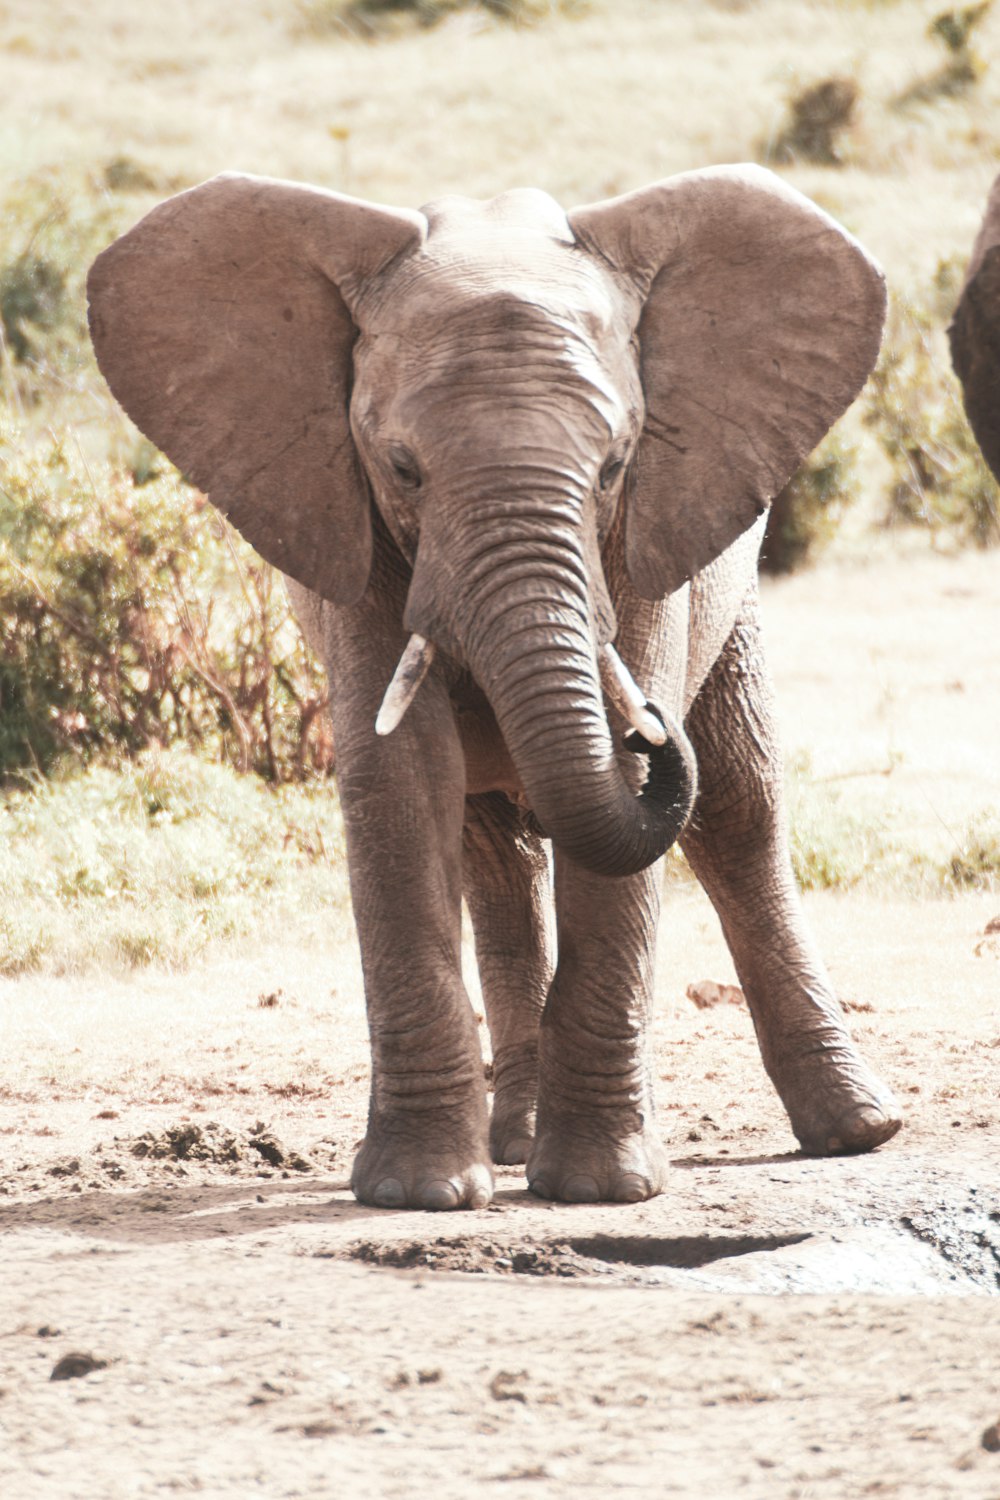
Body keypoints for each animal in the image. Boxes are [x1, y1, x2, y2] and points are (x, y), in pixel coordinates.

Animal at [89, 164, 905, 1206]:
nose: (652, 730)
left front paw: (602, 1190)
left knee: (737, 814)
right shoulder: (351, 533)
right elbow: (400, 780)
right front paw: (416, 1193)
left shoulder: (647, 538)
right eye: (402, 468)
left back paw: (856, 1131)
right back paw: (512, 1141)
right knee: (498, 861)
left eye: (613, 466)